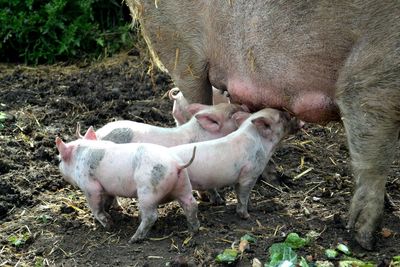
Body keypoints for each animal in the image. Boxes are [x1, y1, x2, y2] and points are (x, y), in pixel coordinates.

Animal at [55, 127, 199, 243]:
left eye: (60, 159)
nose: (59, 166)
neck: (79, 158)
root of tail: (177, 164)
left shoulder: (90, 187)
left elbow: (96, 208)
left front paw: (109, 224)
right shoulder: (108, 188)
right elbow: (109, 200)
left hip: (148, 191)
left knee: (151, 216)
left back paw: (133, 239)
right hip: (184, 184)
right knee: (191, 204)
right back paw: (193, 230)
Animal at [126, 1, 400, 250]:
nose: (298, 121)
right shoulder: (373, 78)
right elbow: (373, 158)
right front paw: (366, 241)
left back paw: (276, 181)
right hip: (181, 52)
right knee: (197, 103)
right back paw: (214, 198)